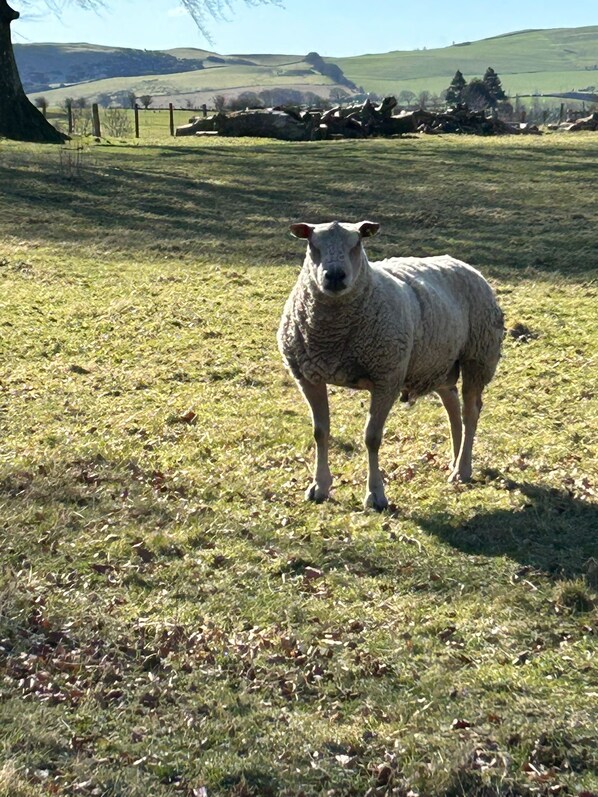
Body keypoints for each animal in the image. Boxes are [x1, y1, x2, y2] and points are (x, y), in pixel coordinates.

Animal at [277, 220, 504, 511]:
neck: (334, 335)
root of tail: (460, 262)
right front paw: (319, 486)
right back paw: (454, 461)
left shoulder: (387, 378)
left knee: (470, 412)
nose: (335, 276)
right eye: (312, 244)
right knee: (452, 405)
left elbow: (372, 438)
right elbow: (320, 432)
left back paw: (462, 470)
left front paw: (376, 495)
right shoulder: (308, 377)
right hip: (437, 362)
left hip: (478, 356)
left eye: (358, 242)